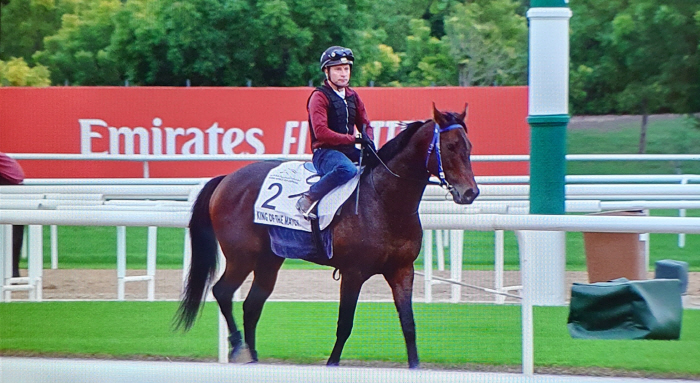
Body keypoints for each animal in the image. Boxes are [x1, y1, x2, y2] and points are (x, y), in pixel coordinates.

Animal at [178, 104, 478, 368]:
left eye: (469, 147)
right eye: (450, 146)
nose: (470, 192)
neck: (384, 202)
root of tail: (226, 178)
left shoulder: (402, 270)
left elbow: (409, 324)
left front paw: (415, 365)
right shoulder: (354, 272)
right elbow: (345, 324)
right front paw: (332, 363)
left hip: (269, 260)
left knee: (252, 305)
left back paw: (253, 357)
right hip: (242, 257)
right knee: (222, 291)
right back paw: (239, 348)